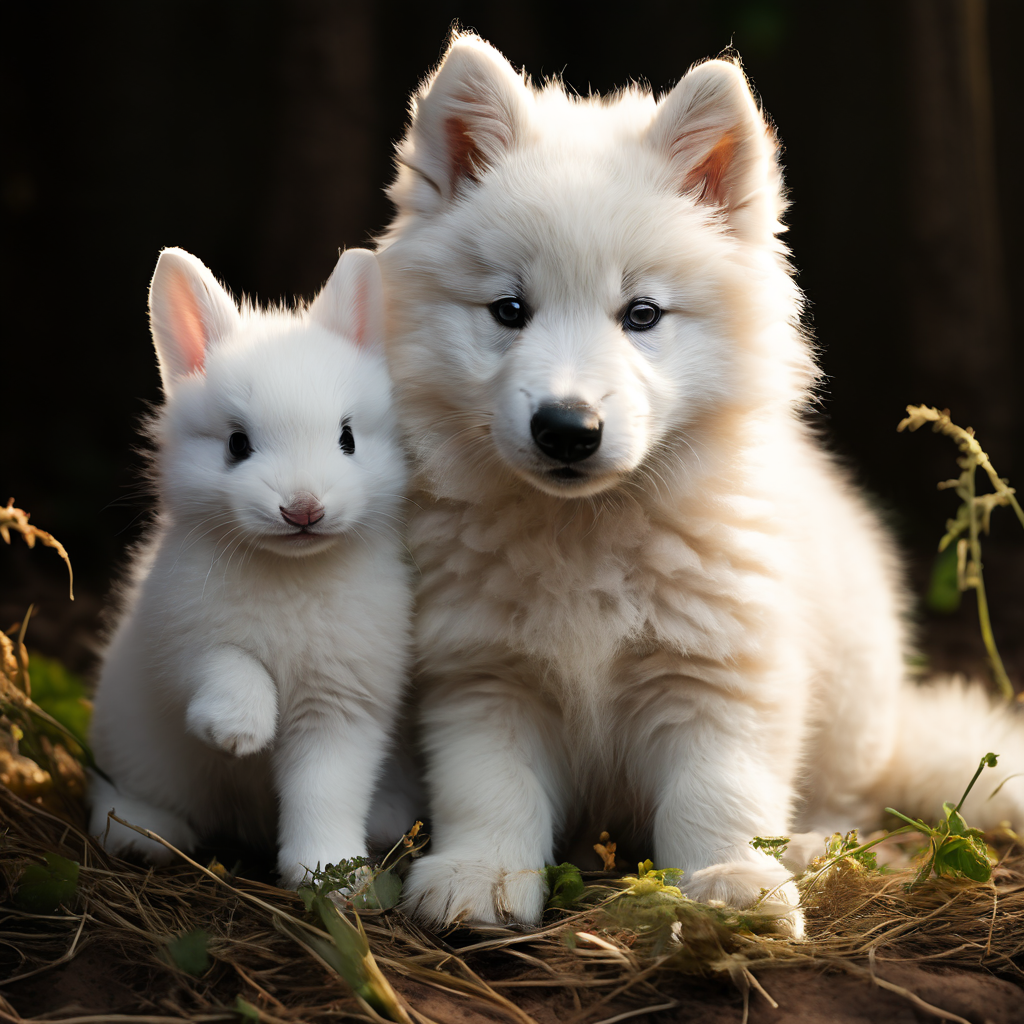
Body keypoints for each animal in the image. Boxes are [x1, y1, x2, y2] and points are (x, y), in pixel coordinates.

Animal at [88, 243, 413, 884]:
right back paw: (140, 836)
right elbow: (231, 665)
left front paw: (331, 877)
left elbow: (324, 793)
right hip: (141, 752)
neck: (291, 568)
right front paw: (238, 732)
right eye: (237, 444)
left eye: (348, 439)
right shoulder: (182, 641)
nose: (303, 509)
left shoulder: (340, 710)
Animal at [378, 34, 1024, 937]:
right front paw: (483, 875)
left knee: (846, 801)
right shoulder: (485, 675)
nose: (567, 428)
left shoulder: (724, 673)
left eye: (642, 315)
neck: (584, 531)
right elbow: (489, 790)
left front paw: (732, 883)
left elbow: (717, 796)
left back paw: (812, 847)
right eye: (509, 310)